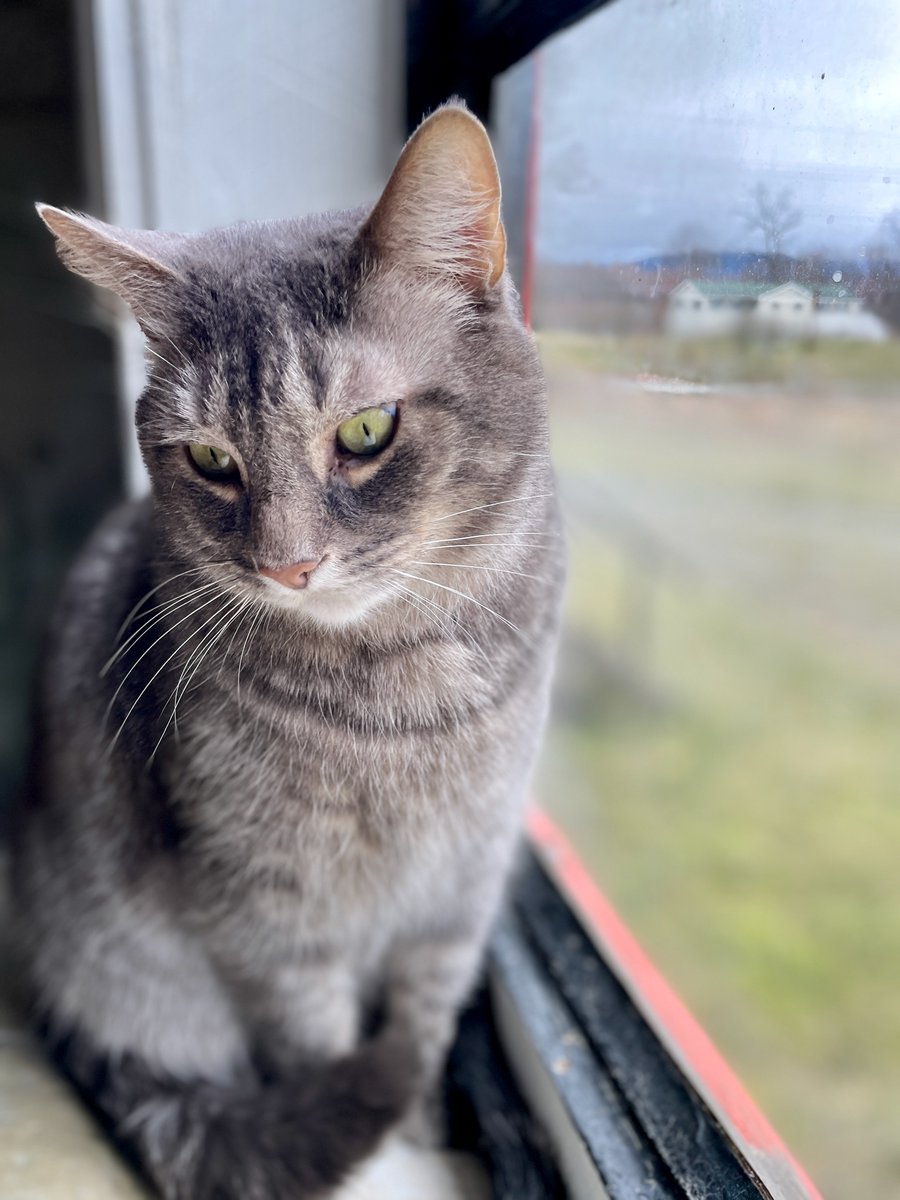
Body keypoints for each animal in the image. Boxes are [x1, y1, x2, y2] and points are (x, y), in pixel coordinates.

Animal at [10, 103, 564, 1200]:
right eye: (210, 459)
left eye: (368, 429)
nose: (289, 565)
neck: (402, 696)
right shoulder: (270, 917)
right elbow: (325, 1047)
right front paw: (395, 1160)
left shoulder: (461, 888)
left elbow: (425, 1022)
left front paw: (425, 1117)